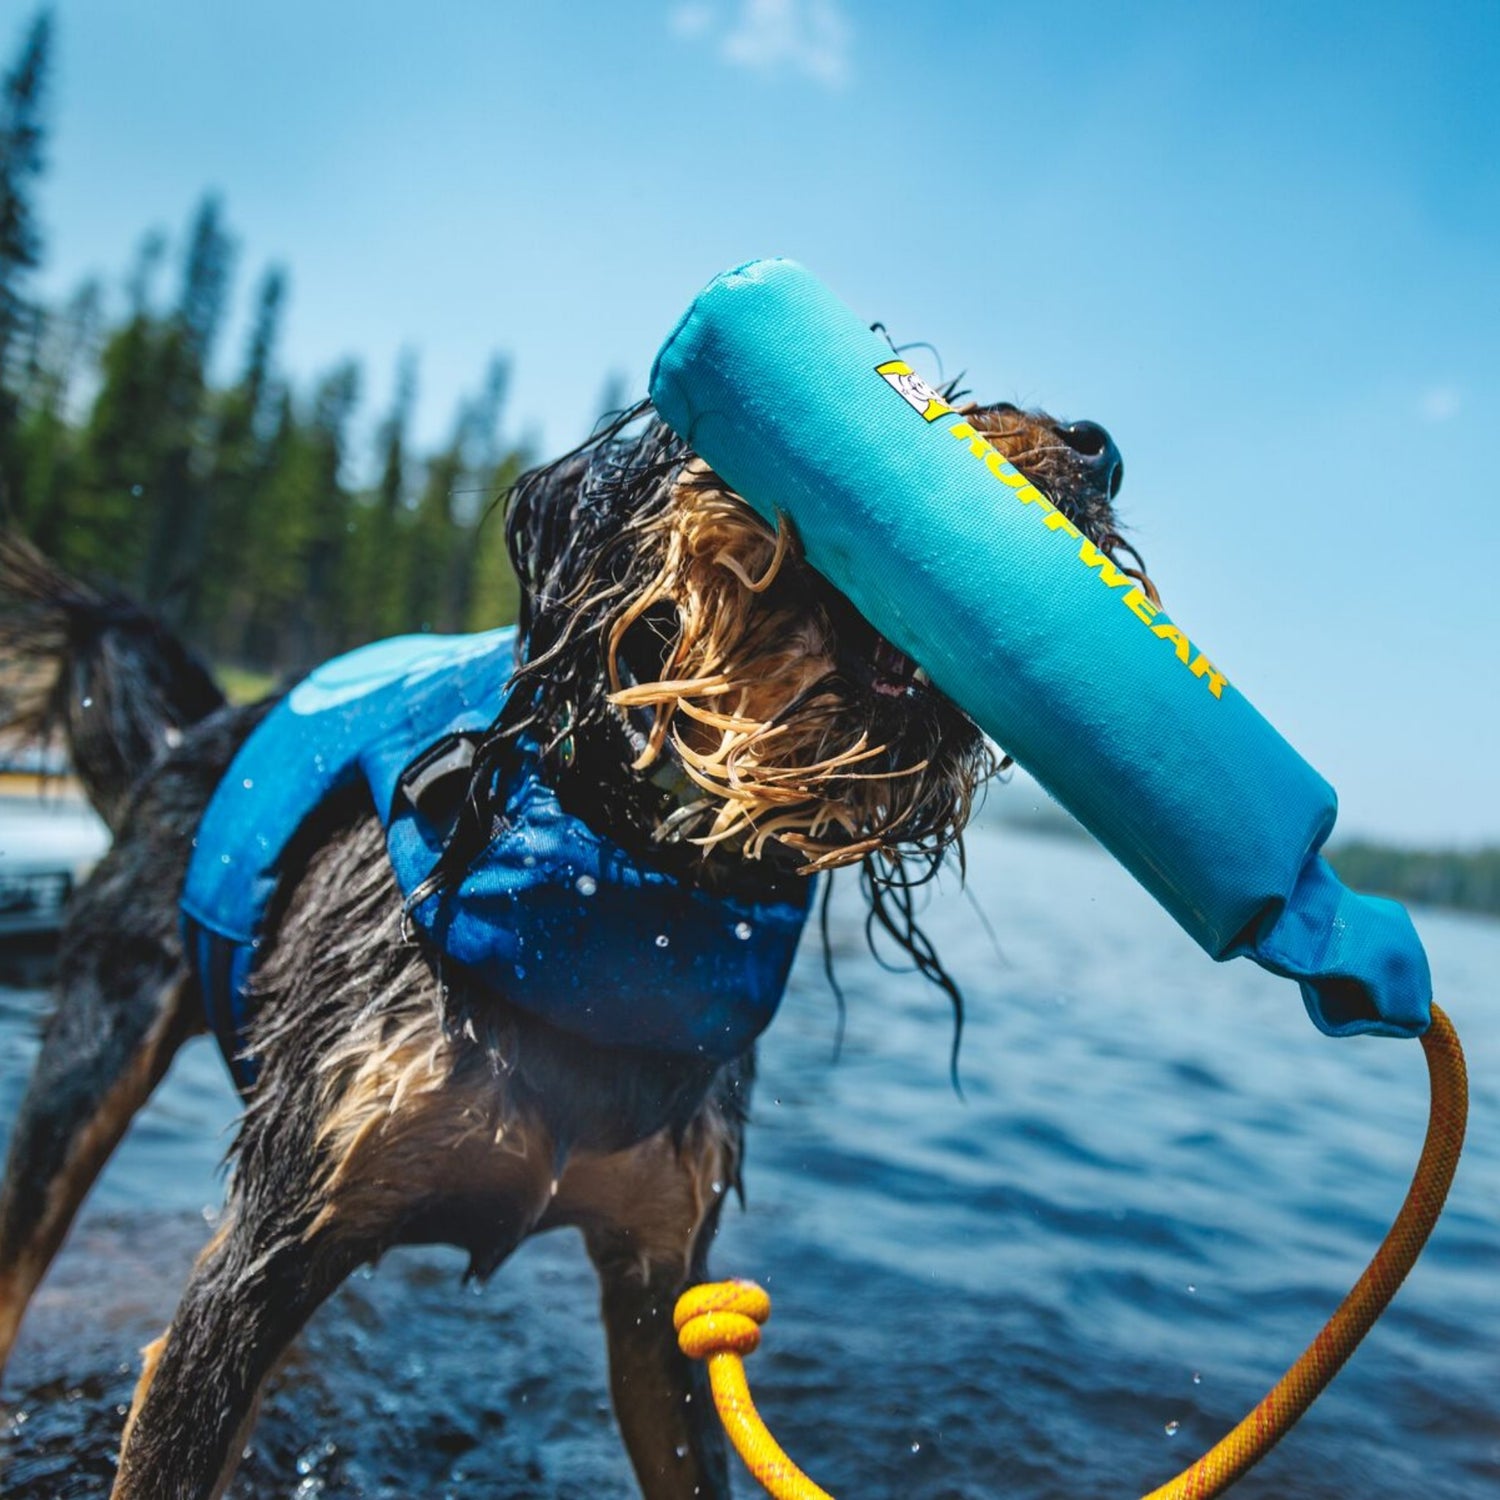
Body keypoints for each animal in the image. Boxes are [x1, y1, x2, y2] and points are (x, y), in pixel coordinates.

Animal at [0, 393, 1134, 1494]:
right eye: (923, 393)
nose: (1102, 448)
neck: (634, 865)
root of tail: (192, 734)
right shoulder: (261, 1262)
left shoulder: (665, 1288)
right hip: (97, 1046)